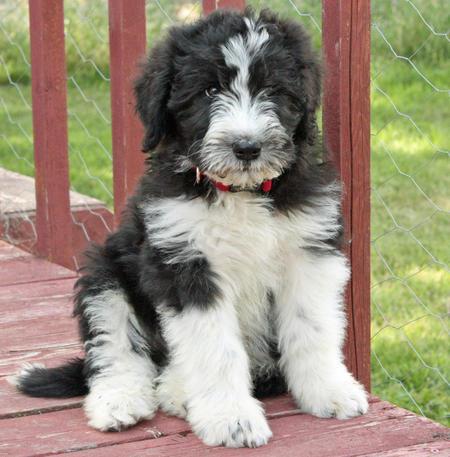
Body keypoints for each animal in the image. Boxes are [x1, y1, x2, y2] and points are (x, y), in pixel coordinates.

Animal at [15, 8, 368, 448]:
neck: (239, 191)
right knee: (117, 349)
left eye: (273, 90)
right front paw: (231, 418)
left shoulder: (308, 250)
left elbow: (312, 327)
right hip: (106, 273)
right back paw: (124, 401)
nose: (247, 147)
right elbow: (215, 349)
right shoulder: (185, 263)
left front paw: (329, 390)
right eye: (209, 91)